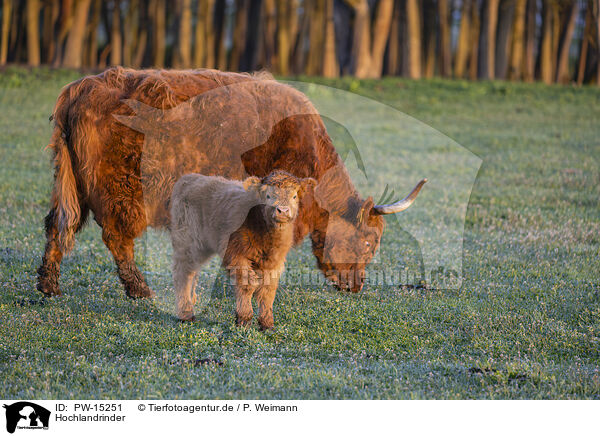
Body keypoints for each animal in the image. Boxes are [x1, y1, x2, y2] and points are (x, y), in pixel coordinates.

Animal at [36, 67, 426, 300]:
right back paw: (140, 290)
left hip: (71, 186)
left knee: (57, 225)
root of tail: (82, 85)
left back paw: (48, 286)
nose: (356, 286)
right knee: (117, 238)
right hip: (121, 190)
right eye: (369, 243)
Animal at [171, 170, 316, 328]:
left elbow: (268, 289)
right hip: (188, 241)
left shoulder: (274, 263)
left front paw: (266, 323)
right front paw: (244, 319)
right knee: (184, 272)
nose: (282, 210)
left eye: (294, 196)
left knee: (193, 271)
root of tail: (189, 178)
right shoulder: (237, 255)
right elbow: (247, 284)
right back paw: (186, 314)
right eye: (268, 195)